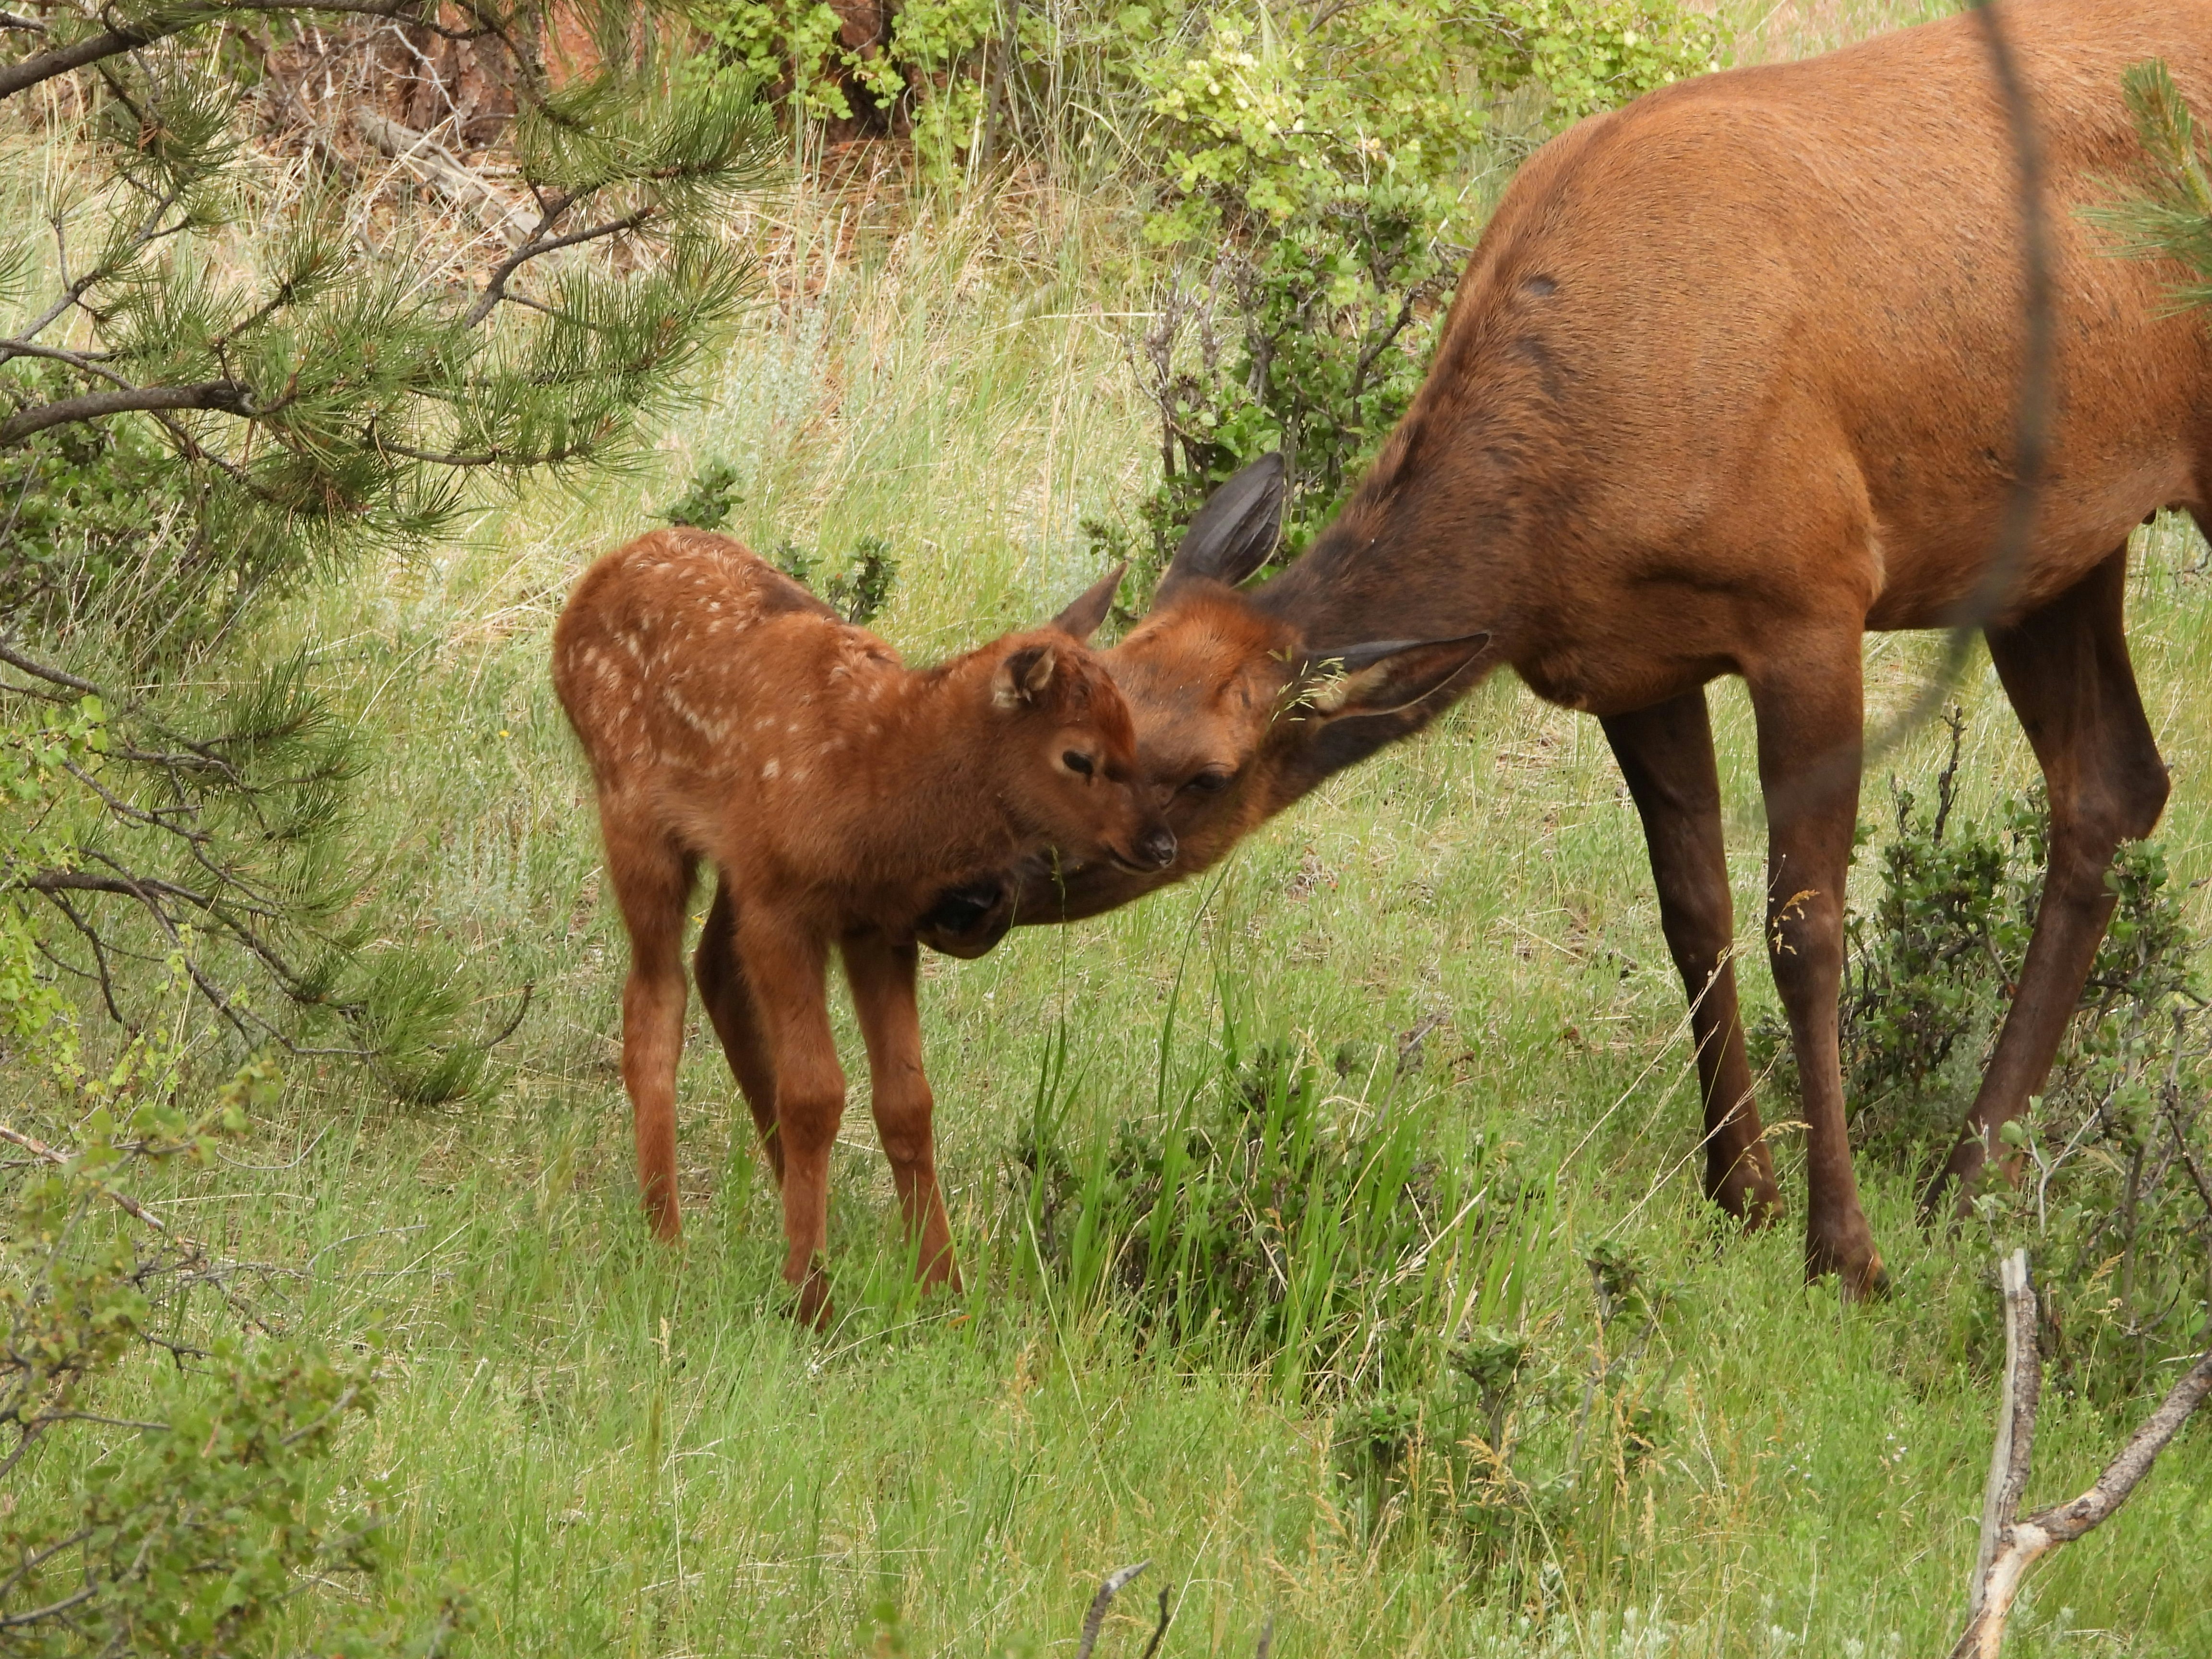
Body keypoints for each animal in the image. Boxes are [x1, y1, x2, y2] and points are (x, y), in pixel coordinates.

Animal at [553, 528, 1174, 1326]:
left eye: (1134, 731)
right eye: (1079, 756)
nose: (1159, 844)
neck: (872, 793)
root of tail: (588, 590)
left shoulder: (877, 926)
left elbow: (907, 1102)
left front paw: (944, 1290)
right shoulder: (784, 910)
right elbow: (816, 1094)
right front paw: (809, 1296)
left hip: (731, 867)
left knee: (713, 972)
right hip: (636, 818)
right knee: (654, 999)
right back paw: (667, 1234)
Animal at [917, 0, 2212, 1300]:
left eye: (1206, 776)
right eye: (1072, 712)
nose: (962, 890)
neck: (1561, 511)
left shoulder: (1814, 594)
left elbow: (1806, 929)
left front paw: (1842, 1250)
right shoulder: (1634, 662)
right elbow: (1692, 915)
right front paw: (1742, 1192)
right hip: (2061, 548)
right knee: (2110, 785)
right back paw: (1969, 1173)